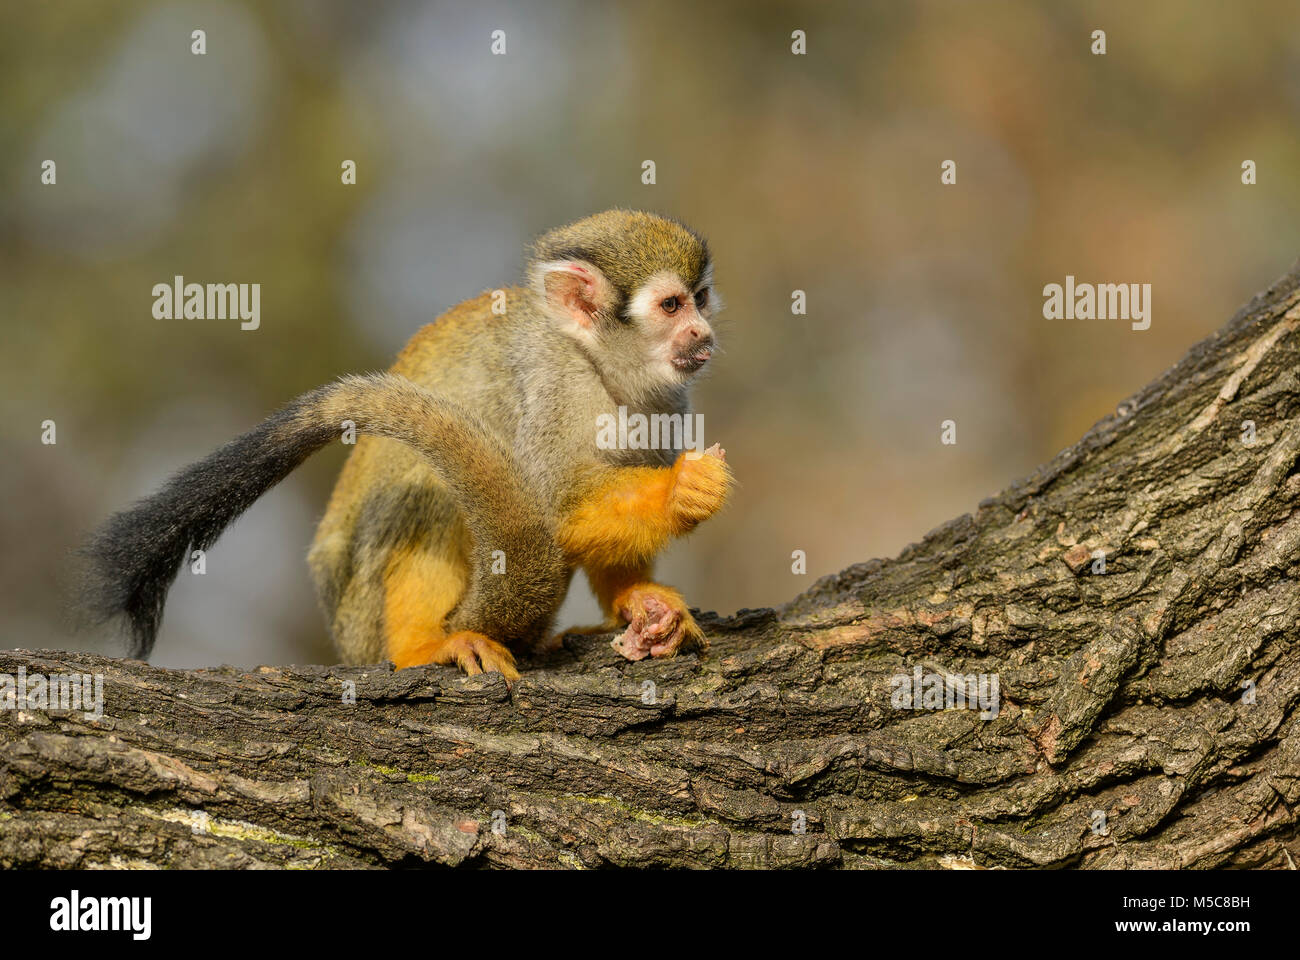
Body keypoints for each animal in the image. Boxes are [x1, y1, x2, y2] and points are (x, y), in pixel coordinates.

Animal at [78, 210, 733, 681]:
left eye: (700, 299)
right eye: (671, 305)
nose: (701, 332)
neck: (600, 364)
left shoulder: (667, 401)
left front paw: (640, 600)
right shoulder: (553, 381)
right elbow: (558, 508)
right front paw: (682, 489)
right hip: (359, 615)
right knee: (425, 494)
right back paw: (425, 645)